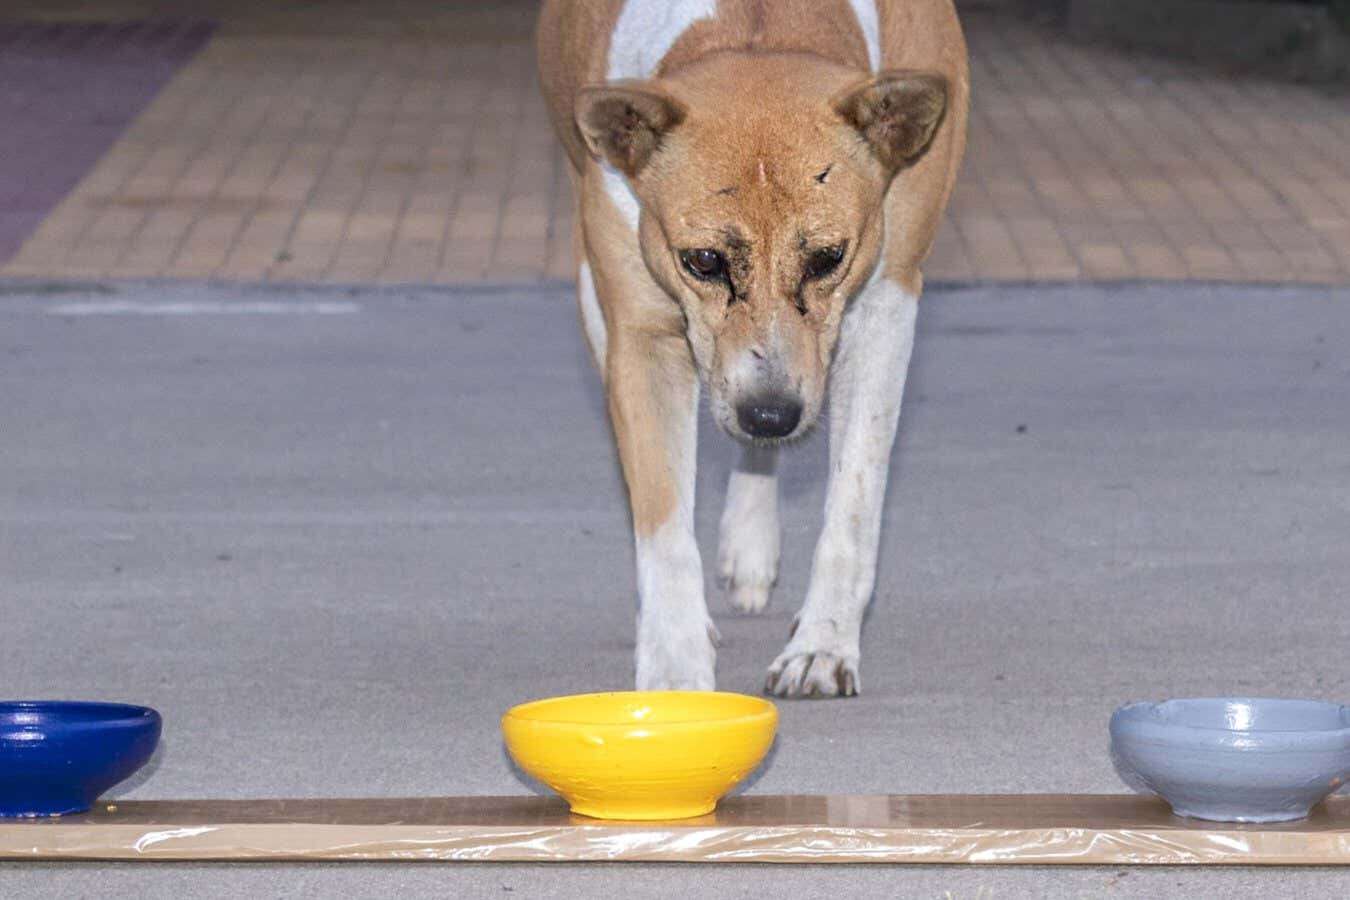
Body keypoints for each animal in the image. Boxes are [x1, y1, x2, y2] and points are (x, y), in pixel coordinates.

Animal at [537, 0, 972, 701]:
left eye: (827, 257)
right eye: (704, 260)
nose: (771, 415)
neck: (757, 26)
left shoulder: (886, 301)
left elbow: (854, 500)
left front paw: (823, 644)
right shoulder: (640, 331)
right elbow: (661, 516)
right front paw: (676, 670)